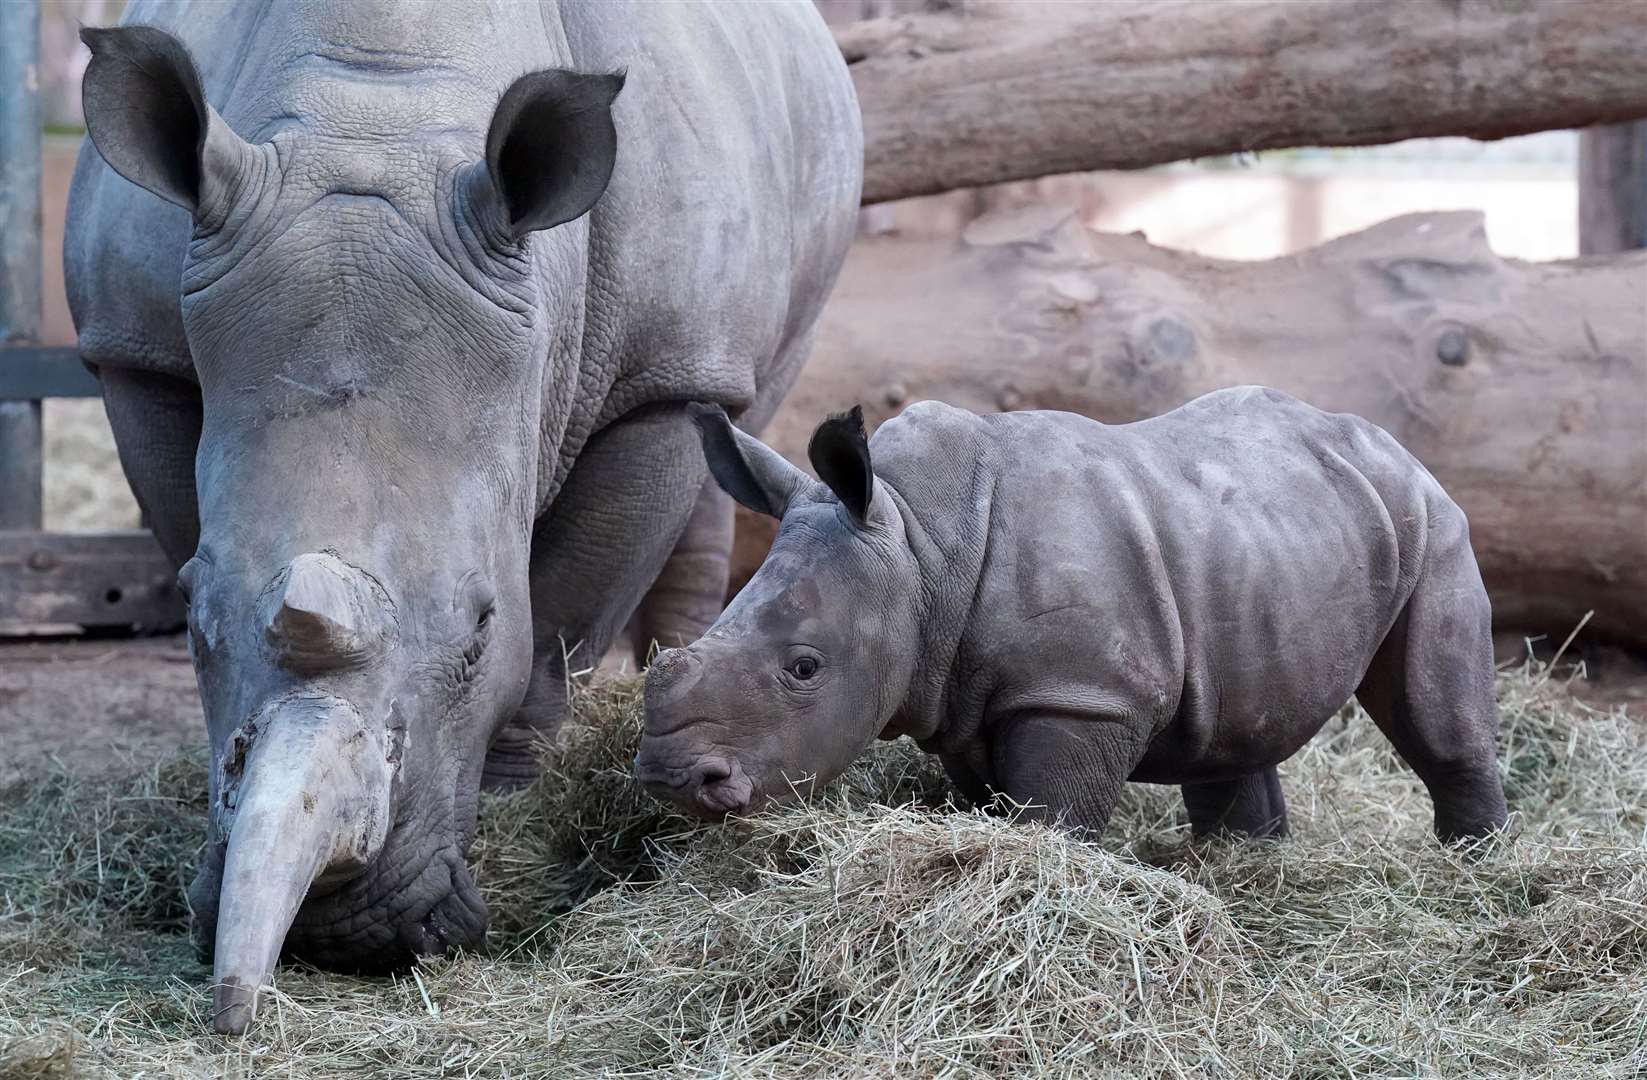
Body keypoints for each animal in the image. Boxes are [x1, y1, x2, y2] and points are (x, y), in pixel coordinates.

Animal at [635, 388, 1508, 842]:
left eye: (804, 668)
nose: (671, 777)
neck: (918, 544)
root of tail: (1384, 438)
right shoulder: (958, 697)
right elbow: (989, 801)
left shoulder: (1079, 695)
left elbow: (1051, 816)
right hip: (1268, 533)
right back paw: (1241, 859)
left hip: (1429, 520)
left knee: (1433, 712)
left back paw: (1475, 863)